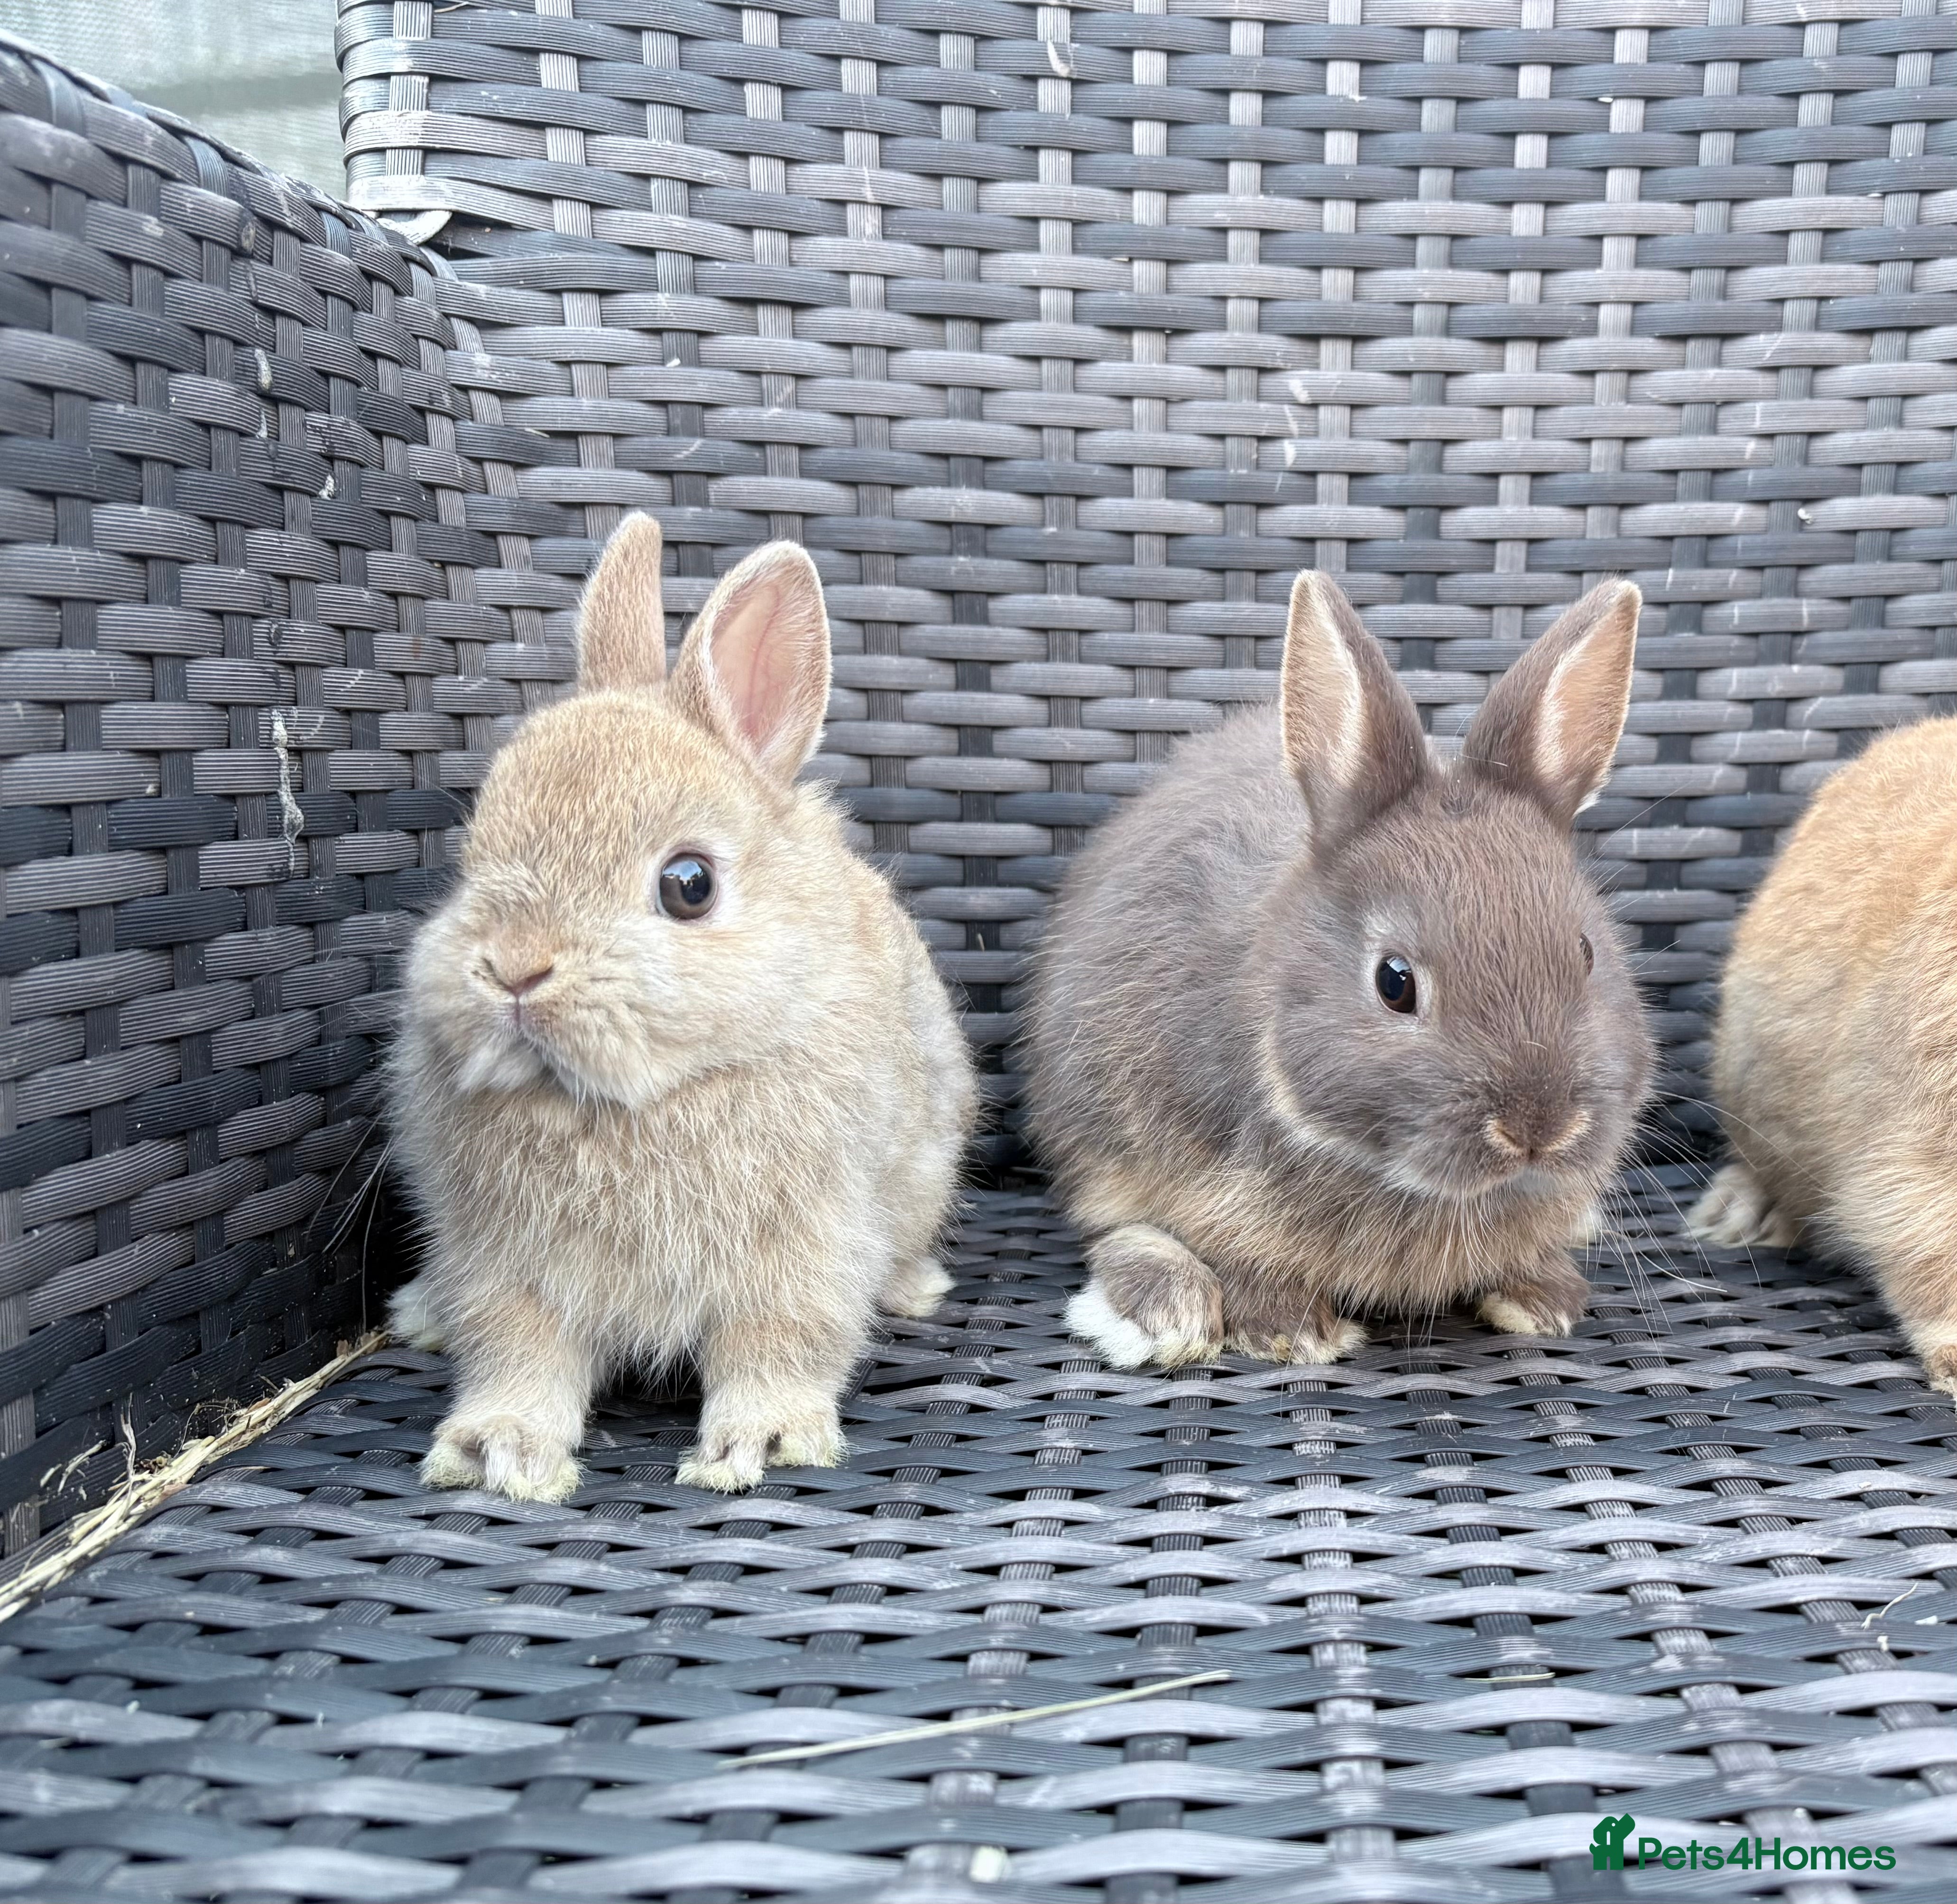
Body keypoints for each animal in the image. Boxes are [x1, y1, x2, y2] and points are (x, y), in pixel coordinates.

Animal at [388, 514, 977, 1498]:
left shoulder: (801, 1253)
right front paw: (494, 1450)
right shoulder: (506, 1267)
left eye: (688, 885)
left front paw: (760, 1444)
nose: (513, 969)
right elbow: (518, 1355)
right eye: (472, 853)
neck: (624, 1103)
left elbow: (778, 1345)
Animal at [1025, 570, 1654, 1369]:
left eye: (1585, 952)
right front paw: (1291, 1329)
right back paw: (1167, 1308)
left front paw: (1544, 1301)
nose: (1536, 1129)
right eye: (1394, 981)